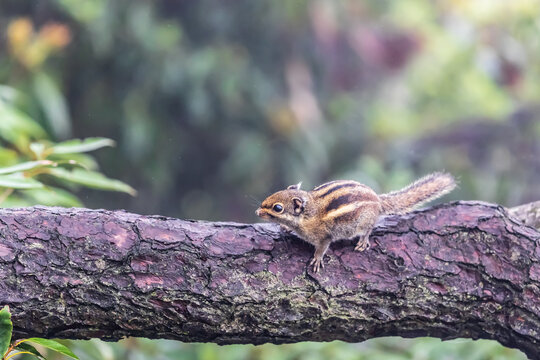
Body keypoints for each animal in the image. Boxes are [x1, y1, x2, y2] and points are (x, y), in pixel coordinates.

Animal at [256, 173, 456, 272]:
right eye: (272, 194)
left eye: (278, 208)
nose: (257, 211)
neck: (309, 213)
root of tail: (377, 200)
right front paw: (284, 228)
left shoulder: (324, 236)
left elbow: (322, 247)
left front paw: (317, 259)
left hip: (363, 222)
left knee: (368, 228)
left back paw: (363, 242)